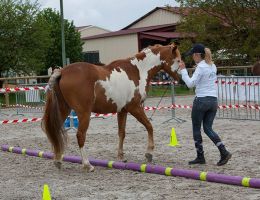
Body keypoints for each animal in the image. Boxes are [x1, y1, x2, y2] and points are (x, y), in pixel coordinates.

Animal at [42, 43, 181, 172]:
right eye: (178, 60)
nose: (180, 79)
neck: (137, 70)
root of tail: (62, 71)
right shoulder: (135, 108)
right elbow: (149, 126)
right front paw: (149, 153)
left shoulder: (122, 111)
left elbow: (121, 133)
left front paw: (121, 157)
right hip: (84, 113)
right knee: (80, 135)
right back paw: (87, 165)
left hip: (64, 109)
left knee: (56, 132)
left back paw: (58, 161)